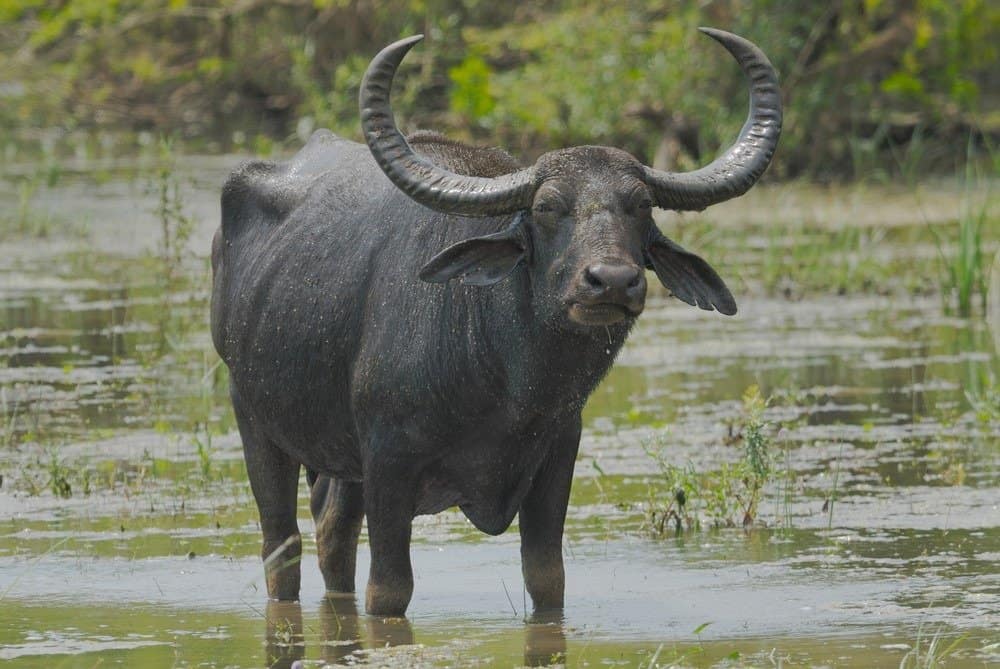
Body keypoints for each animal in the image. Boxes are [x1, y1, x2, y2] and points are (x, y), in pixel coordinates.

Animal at [211, 27, 780, 616]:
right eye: (548, 207)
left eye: (642, 205)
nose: (612, 282)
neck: (509, 385)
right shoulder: (388, 463)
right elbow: (389, 591)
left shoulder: (557, 454)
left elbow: (546, 578)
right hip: (253, 417)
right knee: (282, 546)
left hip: (340, 461)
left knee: (332, 534)